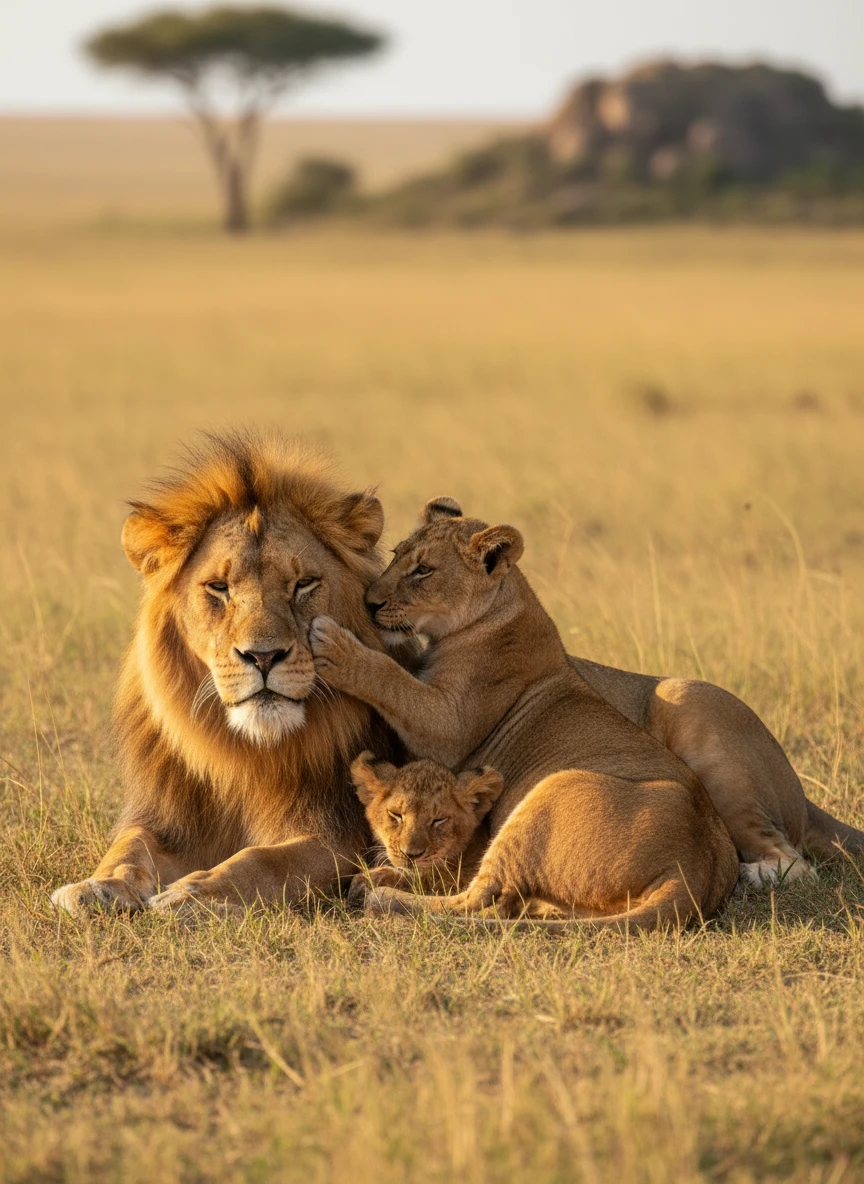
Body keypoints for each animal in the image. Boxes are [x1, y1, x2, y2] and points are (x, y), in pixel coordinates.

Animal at [51, 432, 397, 917]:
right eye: (219, 587)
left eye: (304, 584)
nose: (264, 656)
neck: (243, 755)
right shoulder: (168, 820)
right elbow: (129, 846)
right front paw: (97, 886)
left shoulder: (339, 837)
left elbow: (265, 860)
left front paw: (193, 894)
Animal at [347, 751, 504, 901]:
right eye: (396, 814)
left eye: (439, 820)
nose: (411, 855)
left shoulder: (454, 882)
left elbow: (422, 883)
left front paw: (366, 880)